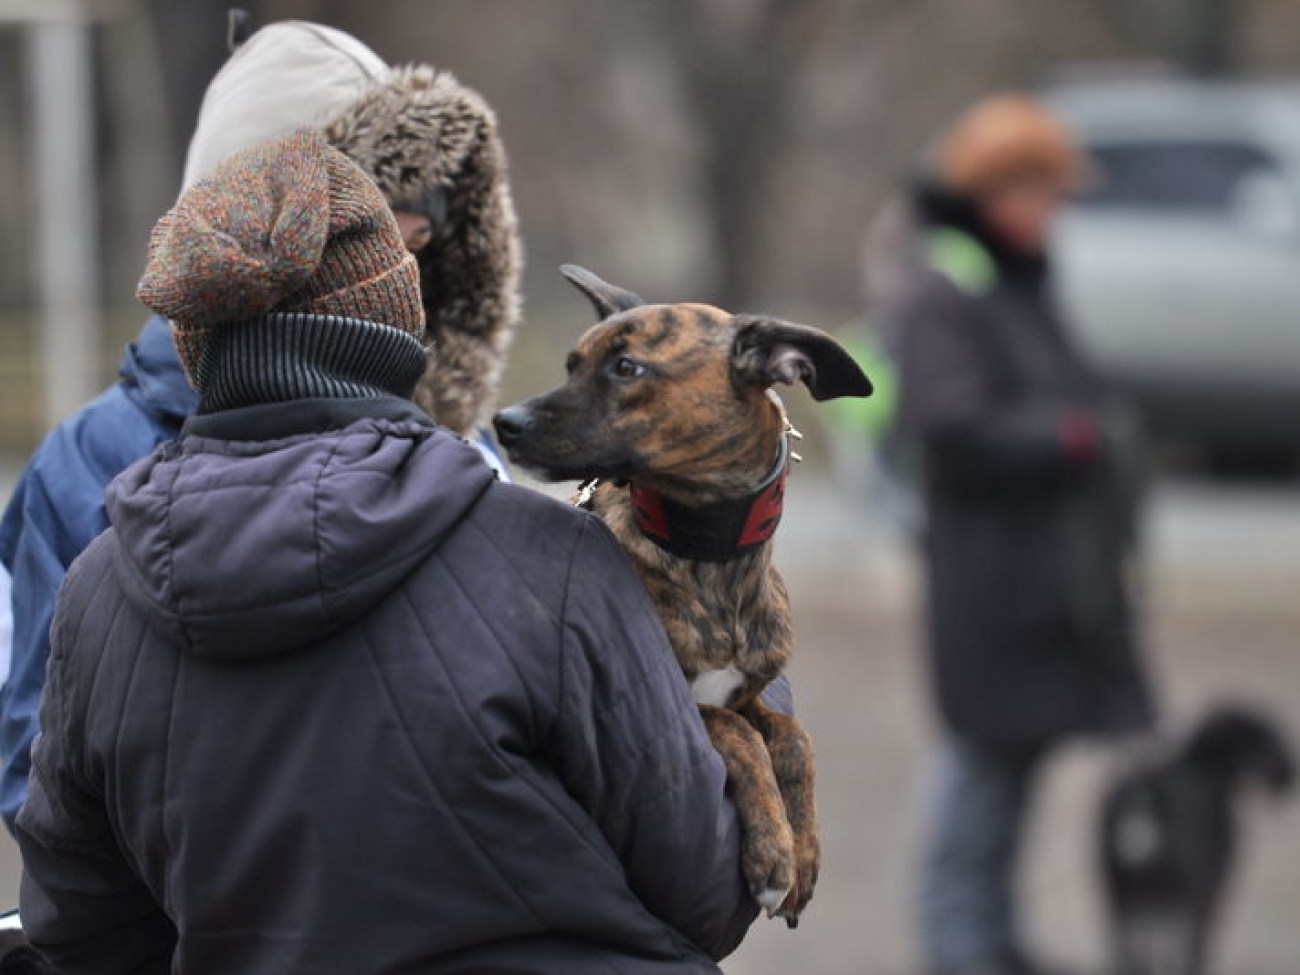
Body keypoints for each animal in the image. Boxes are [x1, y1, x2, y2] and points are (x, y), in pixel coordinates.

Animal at [496, 265, 873, 925]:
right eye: (572, 365)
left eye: (626, 367)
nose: (505, 422)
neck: (709, 557)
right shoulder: (684, 706)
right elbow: (740, 734)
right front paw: (774, 857)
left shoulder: (752, 693)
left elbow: (793, 737)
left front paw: (803, 854)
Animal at [1102, 707, 1294, 975]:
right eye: (1265, 738)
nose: (1287, 774)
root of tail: (1141, 797)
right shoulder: (1206, 891)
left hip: (1120, 895)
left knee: (1125, 952)